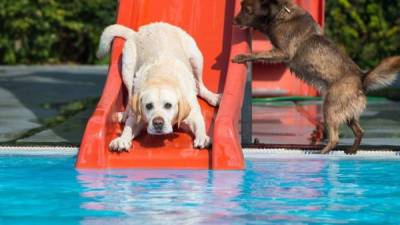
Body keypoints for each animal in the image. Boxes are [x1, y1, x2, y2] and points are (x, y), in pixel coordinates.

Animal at [231, 0, 400, 154]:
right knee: (359, 131)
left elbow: (256, 54)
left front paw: (240, 57)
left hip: (330, 107)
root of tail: (362, 78)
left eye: (247, 10)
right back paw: (352, 150)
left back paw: (321, 153)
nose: (234, 21)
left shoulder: (281, 52)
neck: (280, 13)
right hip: (347, 112)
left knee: (334, 139)